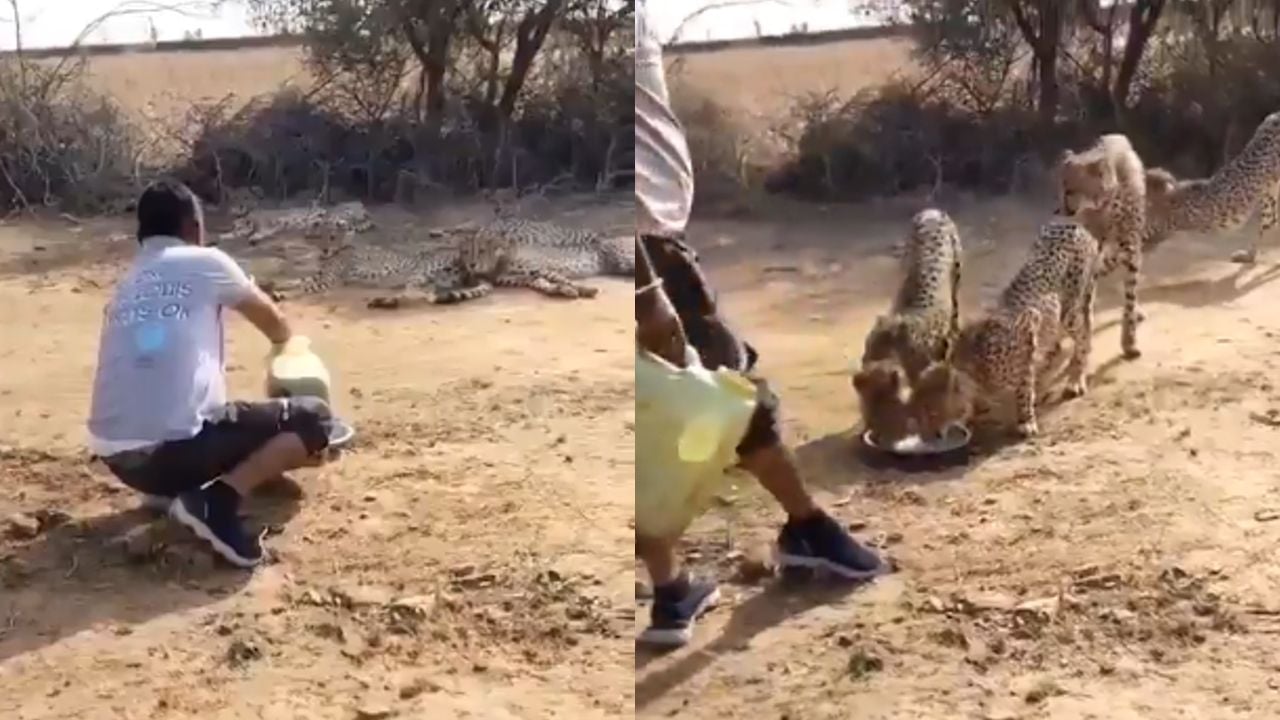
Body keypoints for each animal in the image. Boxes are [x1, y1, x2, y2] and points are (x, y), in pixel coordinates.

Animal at [908, 219, 1102, 440]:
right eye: (918, 412)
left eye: (933, 412)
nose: (929, 436)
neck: (975, 367)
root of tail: (1073, 223)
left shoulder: (1027, 330)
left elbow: (1023, 390)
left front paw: (1026, 421)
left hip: (1070, 311)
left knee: (1084, 335)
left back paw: (1075, 378)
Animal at [1057, 133, 1147, 361]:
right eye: (1059, 189)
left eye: (1070, 190)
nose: (1060, 210)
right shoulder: (1091, 257)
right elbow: (1085, 303)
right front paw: (1084, 340)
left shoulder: (1131, 252)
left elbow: (1129, 299)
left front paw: (1129, 342)